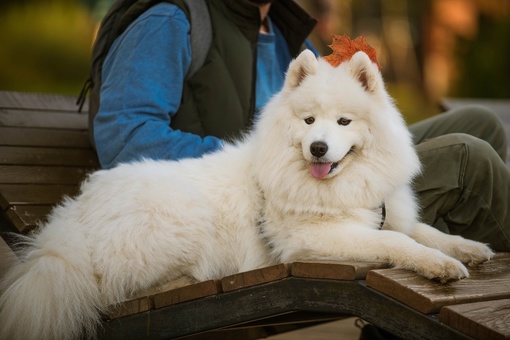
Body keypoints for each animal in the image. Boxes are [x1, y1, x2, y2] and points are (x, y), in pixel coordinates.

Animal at [0, 50, 494, 340]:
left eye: (344, 122)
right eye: (309, 121)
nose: (318, 148)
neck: (337, 186)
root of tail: (71, 219)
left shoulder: (391, 213)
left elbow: (424, 231)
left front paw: (468, 249)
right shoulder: (315, 240)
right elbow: (396, 241)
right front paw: (441, 267)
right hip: (185, 217)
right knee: (118, 290)